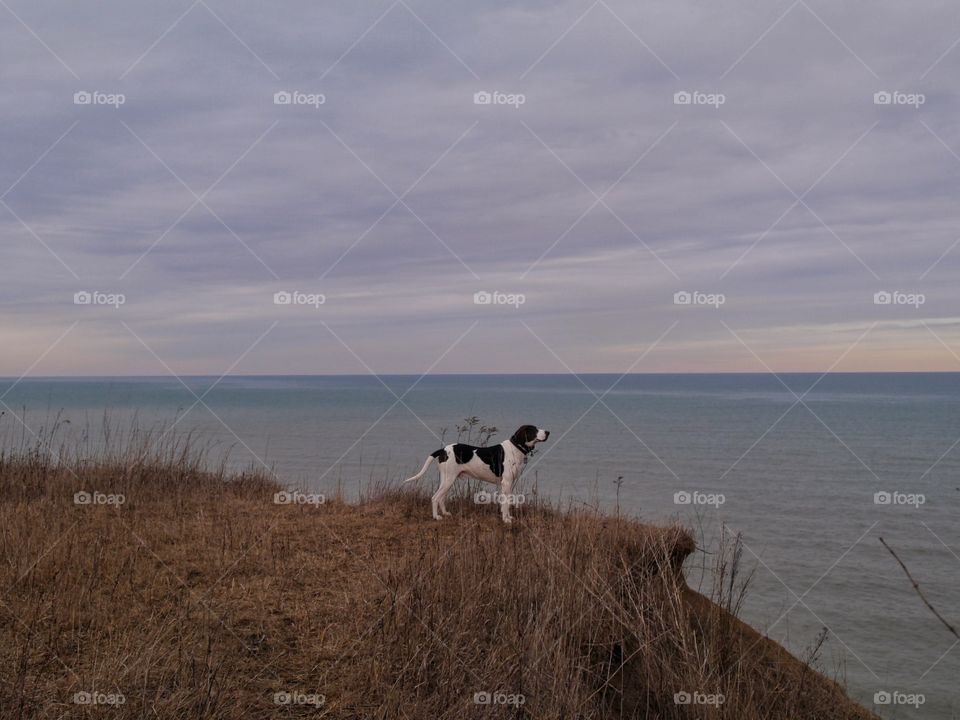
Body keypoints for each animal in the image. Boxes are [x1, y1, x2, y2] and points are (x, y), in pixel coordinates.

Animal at [404, 428, 552, 524]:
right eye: (534, 430)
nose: (548, 432)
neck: (515, 448)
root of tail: (444, 449)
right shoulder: (506, 483)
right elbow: (506, 504)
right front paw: (506, 519)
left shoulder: (507, 485)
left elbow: (506, 503)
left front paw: (507, 517)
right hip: (448, 480)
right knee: (435, 498)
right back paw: (436, 517)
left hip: (447, 480)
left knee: (441, 498)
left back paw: (445, 513)